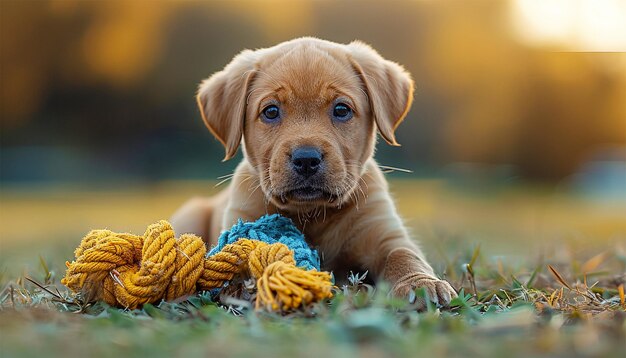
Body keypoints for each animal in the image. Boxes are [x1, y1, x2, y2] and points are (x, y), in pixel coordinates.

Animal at [171, 37, 454, 308]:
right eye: (270, 111)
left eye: (341, 110)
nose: (306, 159)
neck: (312, 214)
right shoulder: (241, 216)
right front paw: (246, 287)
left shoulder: (384, 233)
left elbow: (404, 255)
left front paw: (421, 283)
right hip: (189, 216)